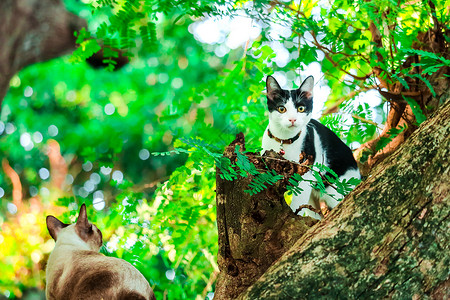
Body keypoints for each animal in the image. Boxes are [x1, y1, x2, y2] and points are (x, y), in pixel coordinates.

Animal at [262, 75, 360, 219]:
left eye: (301, 109)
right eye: (281, 109)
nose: (292, 119)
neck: (284, 140)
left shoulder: (306, 173)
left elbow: (297, 202)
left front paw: (293, 215)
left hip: (335, 186)